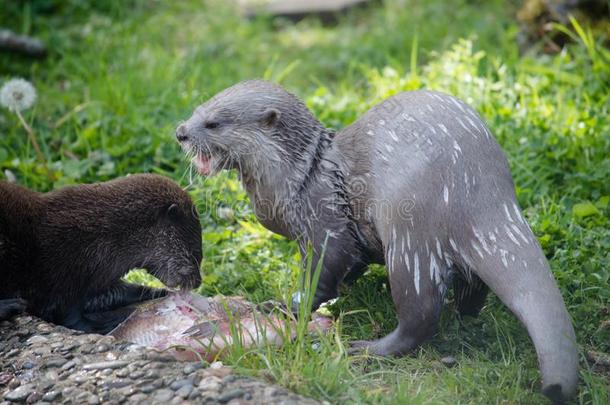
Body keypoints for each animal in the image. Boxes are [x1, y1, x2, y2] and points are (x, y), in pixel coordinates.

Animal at [0, 174, 204, 332]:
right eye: (195, 254)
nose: (198, 282)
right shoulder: (62, 282)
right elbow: (70, 318)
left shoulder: (97, 278)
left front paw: (155, 292)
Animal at [175, 79, 576, 400]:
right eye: (198, 109)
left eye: (214, 122)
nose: (180, 131)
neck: (296, 179)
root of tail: (483, 194)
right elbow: (351, 263)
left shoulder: (324, 220)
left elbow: (324, 269)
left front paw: (284, 306)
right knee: (472, 285)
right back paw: (465, 316)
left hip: (411, 233)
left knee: (420, 313)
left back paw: (368, 349)